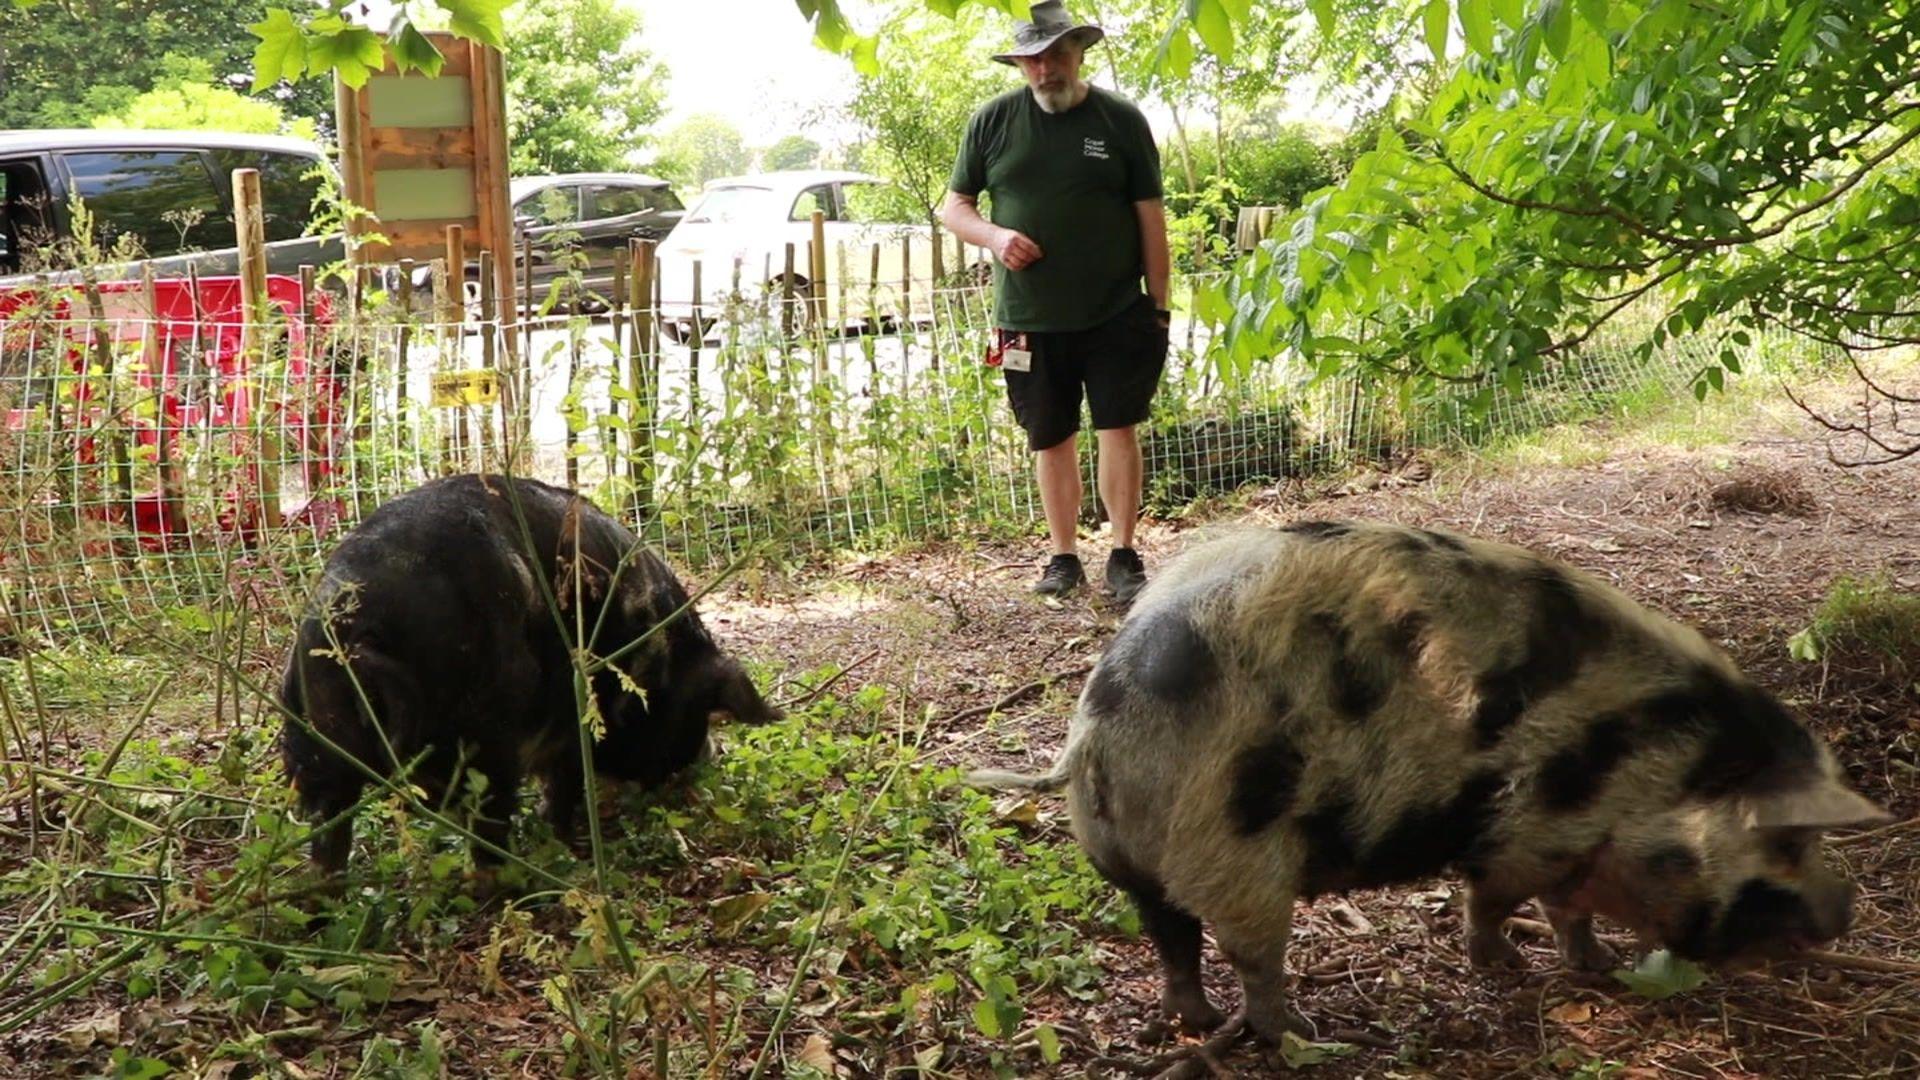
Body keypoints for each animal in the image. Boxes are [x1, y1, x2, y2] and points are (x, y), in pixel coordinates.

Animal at [280, 474, 775, 868]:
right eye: (699, 711)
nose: (712, 752)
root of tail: (354, 629)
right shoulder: (576, 725)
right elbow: (565, 781)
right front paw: (563, 834)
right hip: (485, 730)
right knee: (488, 816)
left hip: (311, 731)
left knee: (327, 822)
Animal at [975, 518, 1889, 1037]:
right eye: (1790, 841)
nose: (1843, 910)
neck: (1656, 769)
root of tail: (1092, 725)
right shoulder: (1531, 829)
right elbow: (1500, 899)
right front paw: (1508, 970)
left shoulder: (1575, 844)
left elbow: (1569, 911)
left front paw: (1592, 967)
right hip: (1235, 847)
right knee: (1248, 952)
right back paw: (1292, 1034)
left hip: (1128, 856)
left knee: (1170, 937)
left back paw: (1193, 1021)